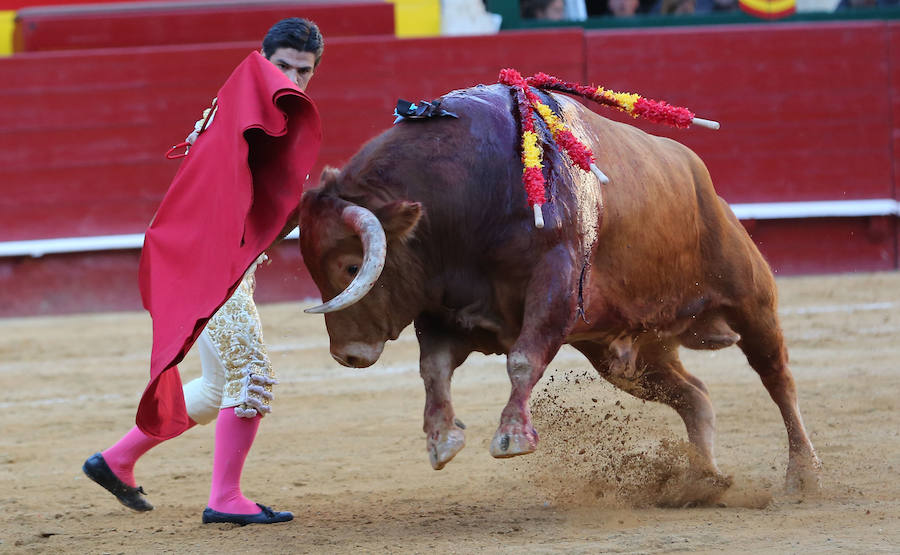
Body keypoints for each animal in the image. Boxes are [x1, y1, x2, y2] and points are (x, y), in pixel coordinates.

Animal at [298, 80, 824, 494]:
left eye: (351, 266)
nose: (347, 354)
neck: (467, 195)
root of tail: (699, 174)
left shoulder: (553, 283)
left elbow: (522, 359)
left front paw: (512, 437)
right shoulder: (443, 308)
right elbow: (434, 369)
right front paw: (442, 439)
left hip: (751, 300)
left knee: (778, 377)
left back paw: (803, 474)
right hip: (628, 353)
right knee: (694, 396)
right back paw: (702, 481)